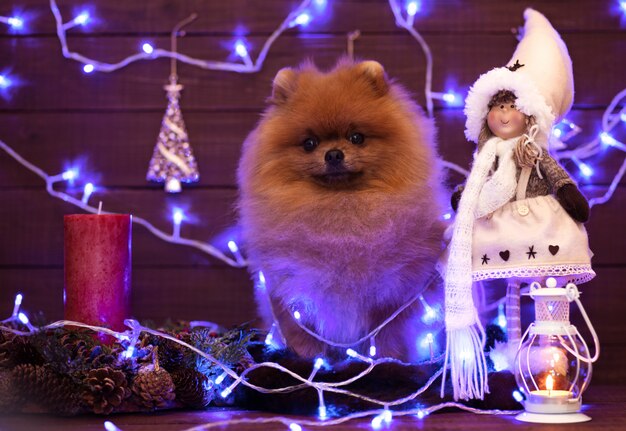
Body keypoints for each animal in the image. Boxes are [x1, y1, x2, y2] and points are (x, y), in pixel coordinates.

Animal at [236, 57, 446, 362]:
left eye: (356, 137)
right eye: (309, 143)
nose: (333, 154)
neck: (341, 210)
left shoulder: (394, 293)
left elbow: (387, 338)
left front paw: (387, 362)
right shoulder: (288, 290)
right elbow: (302, 338)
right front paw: (308, 363)